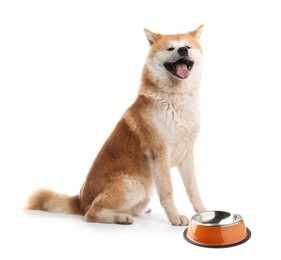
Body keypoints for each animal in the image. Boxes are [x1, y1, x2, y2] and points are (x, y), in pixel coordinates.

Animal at [25, 24, 206, 225]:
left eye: (187, 46)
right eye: (170, 48)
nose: (182, 50)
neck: (177, 100)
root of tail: (80, 200)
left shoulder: (187, 154)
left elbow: (193, 189)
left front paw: (203, 213)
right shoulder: (159, 153)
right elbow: (167, 192)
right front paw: (174, 217)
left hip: (143, 194)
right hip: (135, 186)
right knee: (92, 213)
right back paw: (121, 218)